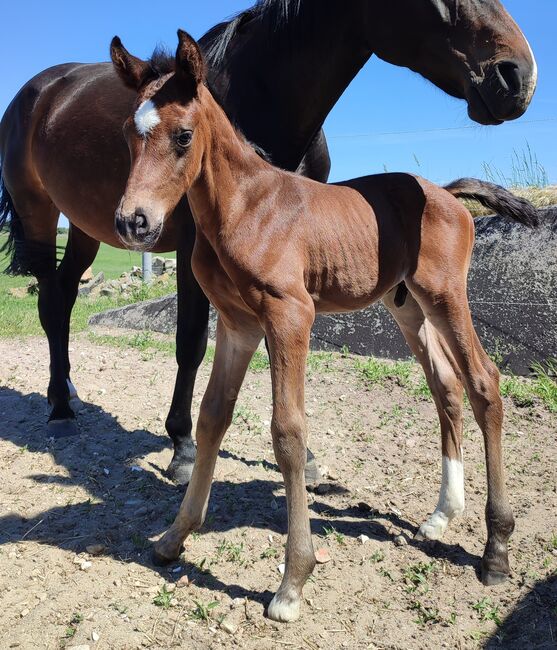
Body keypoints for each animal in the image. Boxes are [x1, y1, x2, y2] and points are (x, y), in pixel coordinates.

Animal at [111, 33, 536, 620]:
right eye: (128, 134)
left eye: (183, 136)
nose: (133, 223)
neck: (245, 205)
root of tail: (448, 193)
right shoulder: (238, 325)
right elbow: (213, 417)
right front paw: (175, 536)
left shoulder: (290, 316)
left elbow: (288, 432)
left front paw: (293, 581)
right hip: (407, 307)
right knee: (446, 388)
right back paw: (441, 515)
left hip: (446, 296)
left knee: (484, 383)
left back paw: (495, 551)